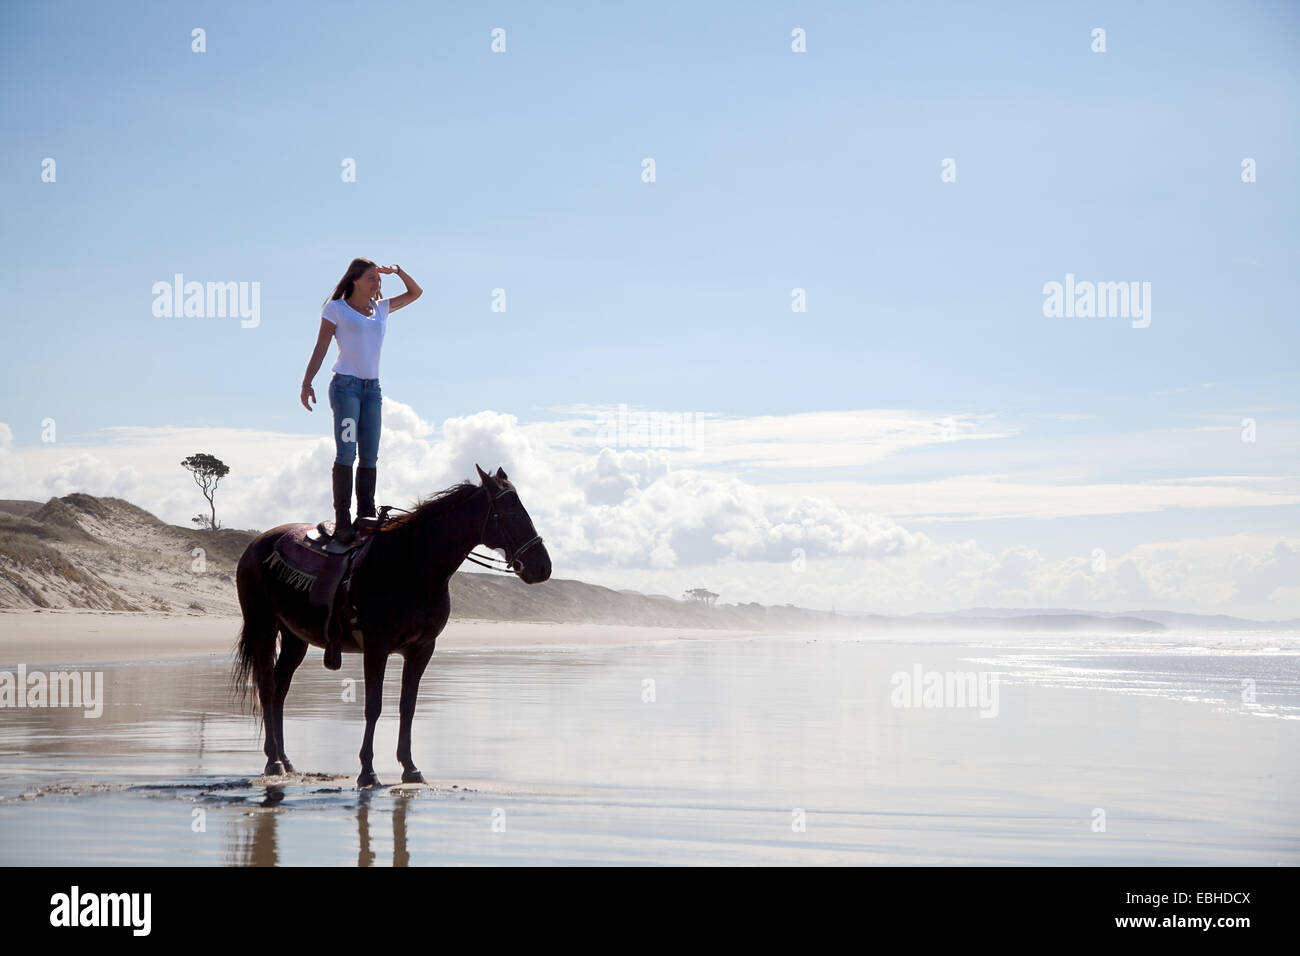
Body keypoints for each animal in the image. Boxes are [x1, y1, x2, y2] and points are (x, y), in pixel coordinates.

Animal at [232, 464, 551, 788]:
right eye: (510, 512)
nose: (543, 567)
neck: (412, 565)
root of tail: (256, 545)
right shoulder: (376, 647)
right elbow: (374, 706)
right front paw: (367, 771)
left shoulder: (421, 649)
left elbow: (407, 706)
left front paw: (409, 767)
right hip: (262, 625)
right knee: (267, 687)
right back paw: (273, 761)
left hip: (295, 636)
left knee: (281, 688)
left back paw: (284, 759)